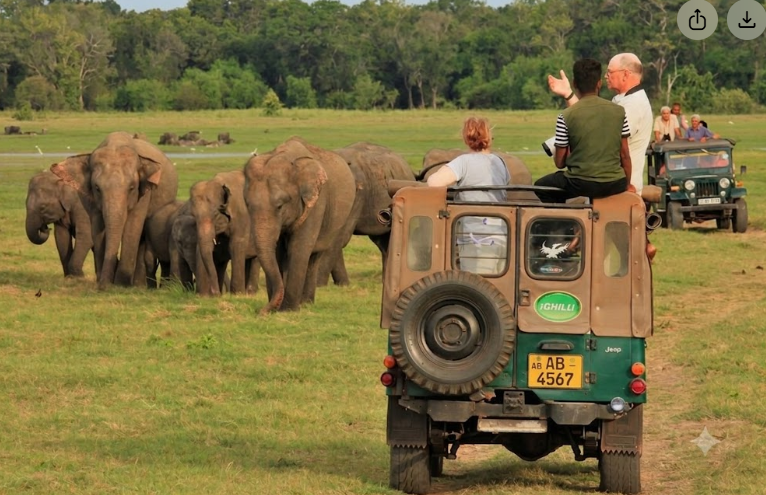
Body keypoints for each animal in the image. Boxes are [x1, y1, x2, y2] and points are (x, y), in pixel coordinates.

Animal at [51, 131, 179, 289]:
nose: (104, 286)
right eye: (97, 188)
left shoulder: (143, 195)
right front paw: (104, 282)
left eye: (132, 188)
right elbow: (98, 228)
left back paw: (138, 286)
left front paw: (121, 284)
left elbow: (132, 227)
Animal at [244, 137, 356, 313]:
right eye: (247, 205)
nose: (261, 312)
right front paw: (278, 308)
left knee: (314, 257)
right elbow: (278, 252)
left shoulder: (316, 203)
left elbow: (298, 248)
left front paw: (288, 310)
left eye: (280, 206)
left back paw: (306, 303)